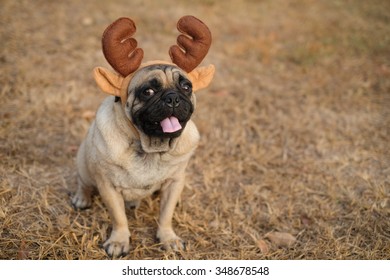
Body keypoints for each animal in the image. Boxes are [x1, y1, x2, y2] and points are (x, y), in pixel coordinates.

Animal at [71, 15, 215, 258]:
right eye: (148, 92)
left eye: (186, 87)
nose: (173, 97)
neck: (151, 149)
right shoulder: (108, 187)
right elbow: (119, 218)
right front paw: (118, 241)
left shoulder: (175, 182)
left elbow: (165, 215)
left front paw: (168, 238)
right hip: (83, 163)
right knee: (83, 182)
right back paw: (82, 198)